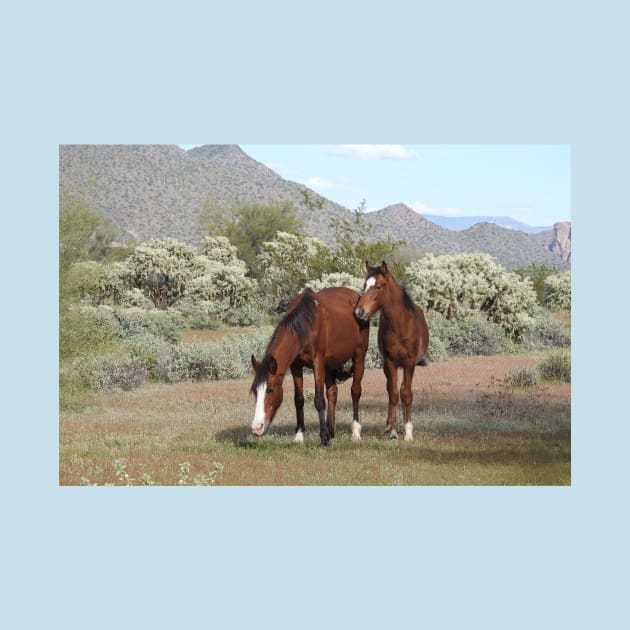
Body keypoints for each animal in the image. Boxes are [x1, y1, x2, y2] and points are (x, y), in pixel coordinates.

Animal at [251, 286, 370, 444]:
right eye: (255, 391)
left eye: (270, 390)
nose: (256, 428)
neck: (306, 325)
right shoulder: (296, 366)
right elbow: (299, 400)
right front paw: (299, 435)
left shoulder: (317, 363)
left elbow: (319, 400)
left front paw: (323, 437)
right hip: (329, 365)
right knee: (332, 392)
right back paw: (331, 431)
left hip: (359, 356)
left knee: (355, 391)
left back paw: (355, 432)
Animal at [356, 262, 430, 444]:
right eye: (364, 285)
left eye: (378, 286)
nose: (360, 312)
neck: (400, 326)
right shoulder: (390, 362)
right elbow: (394, 394)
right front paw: (394, 432)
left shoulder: (409, 363)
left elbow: (407, 394)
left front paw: (408, 432)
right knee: (391, 390)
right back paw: (389, 425)